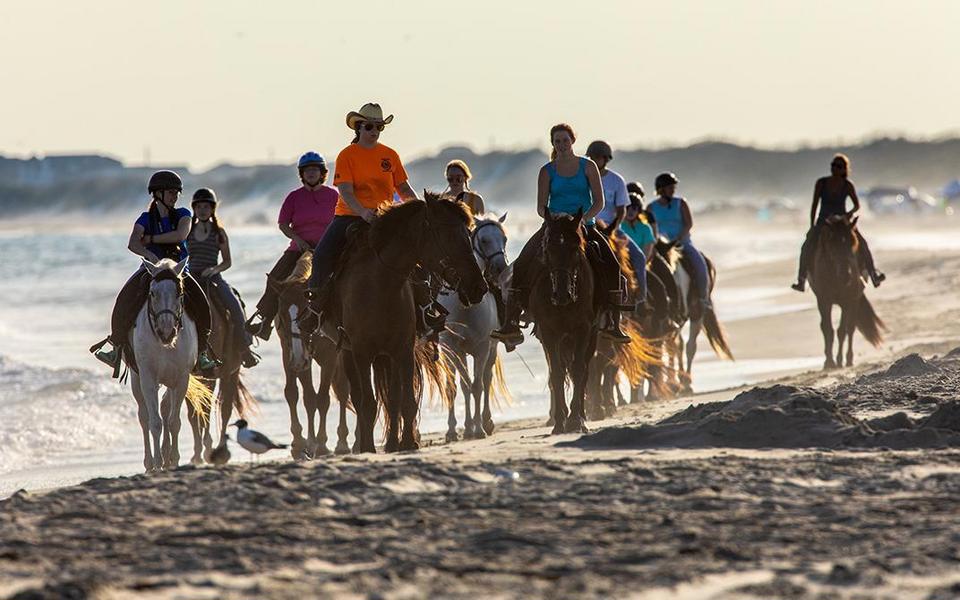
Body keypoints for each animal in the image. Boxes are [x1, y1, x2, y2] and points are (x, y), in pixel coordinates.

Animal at [128, 258, 209, 474]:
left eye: (180, 293)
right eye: (152, 293)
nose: (166, 332)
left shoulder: (181, 379)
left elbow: (173, 422)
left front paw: (173, 460)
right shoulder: (148, 378)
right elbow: (154, 422)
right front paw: (157, 463)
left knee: (165, 409)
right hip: (137, 379)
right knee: (144, 417)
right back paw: (149, 463)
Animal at [272, 254, 350, 460]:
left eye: (306, 311)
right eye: (281, 314)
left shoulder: (330, 357)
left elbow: (322, 399)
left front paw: (321, 445)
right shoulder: (292, 354)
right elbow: (300, 395)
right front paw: (301, 444)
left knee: (345, 391)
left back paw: (344, 443)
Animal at [330, 195, 488, 452]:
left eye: (467, 234)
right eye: (447, 235)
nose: (478, 287)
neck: (381, 284)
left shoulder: (402, 350)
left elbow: (405, 400)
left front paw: (406, 442)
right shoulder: (362, 353)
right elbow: (368, 403)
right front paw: (368, 448)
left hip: (386, 356)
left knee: (392, 398)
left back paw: (393, 442)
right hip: (349, 353)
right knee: (359, 396)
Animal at [442, 213, 510, 438]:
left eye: (505, 239)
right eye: (484, 240)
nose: (501, 268)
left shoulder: (481, 348)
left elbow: (477, 386)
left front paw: (478, 428)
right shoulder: (452, 348)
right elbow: (459, 386)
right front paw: (458, 428)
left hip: (492, 347)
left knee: (487, 380)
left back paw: (487, 422)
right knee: (457, 384)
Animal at [808, 213, 880, 368]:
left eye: (852, 245)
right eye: (833, 248)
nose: (846, 275)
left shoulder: (847, 301)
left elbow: (842, 331)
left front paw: (840, 360)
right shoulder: (823, 300)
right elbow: (827, 329)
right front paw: (829, 362)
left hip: (854, 300)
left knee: (850, 328)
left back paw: (849, 359)